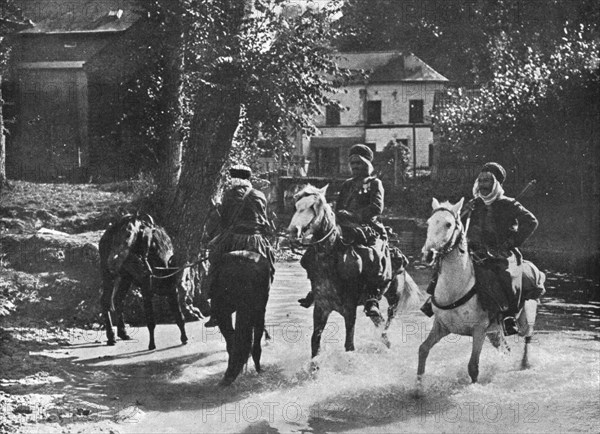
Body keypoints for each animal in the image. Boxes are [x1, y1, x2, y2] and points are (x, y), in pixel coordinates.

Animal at [288, 183, 424, 356]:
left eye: (312, 206)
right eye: (296, 206)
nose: (293, 231)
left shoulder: (349, 310)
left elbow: (349, 345)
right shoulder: (321, 308)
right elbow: (315, 342)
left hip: (394, 299)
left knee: (386, 322)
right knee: (379, 321)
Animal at [418, 198, 540, 384]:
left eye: (448, 224)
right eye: (429, 222)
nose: (428, 254)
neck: (457, 287)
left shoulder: (479, 330)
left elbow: (473, 367)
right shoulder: (441, 327)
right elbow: (423, 349)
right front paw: (418, 385)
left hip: (526, 320)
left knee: (528, 338)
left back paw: (525, 364)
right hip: (495, 333)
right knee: (506, 348)